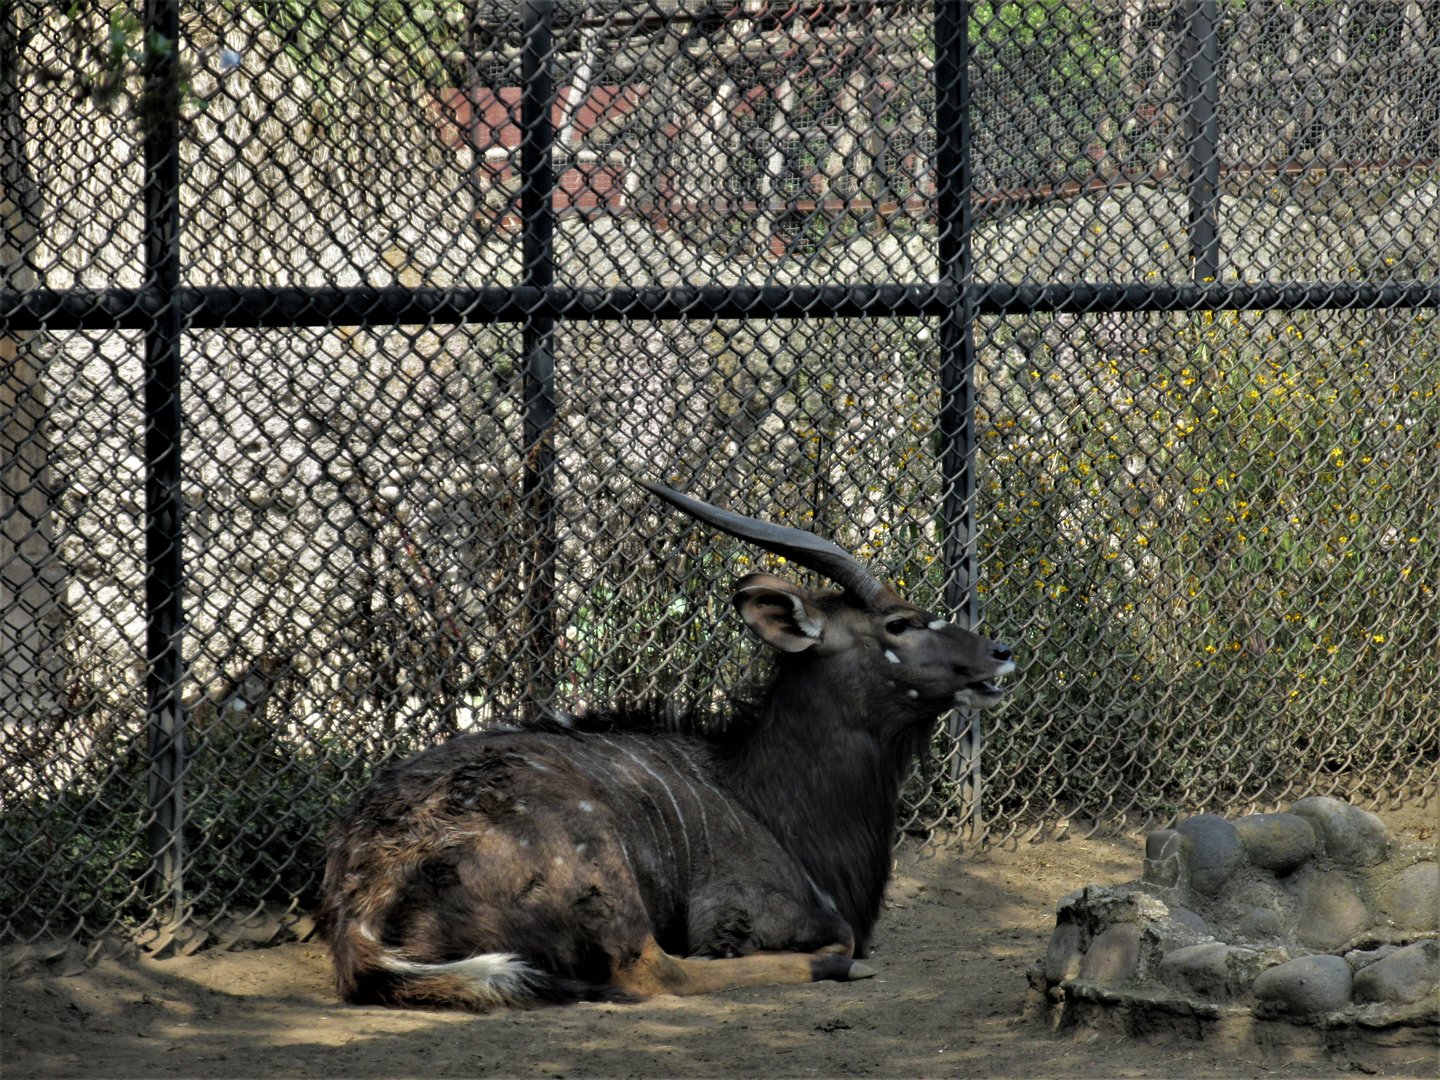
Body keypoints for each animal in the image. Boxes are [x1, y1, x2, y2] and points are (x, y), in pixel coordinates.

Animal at [318, 481, 1015, 1010]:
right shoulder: (735, 914)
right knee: (654, 972)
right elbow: (833, 937)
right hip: (600, 866)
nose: (1000, 652)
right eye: (899, 623)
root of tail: (362, 896)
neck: (759, 796)